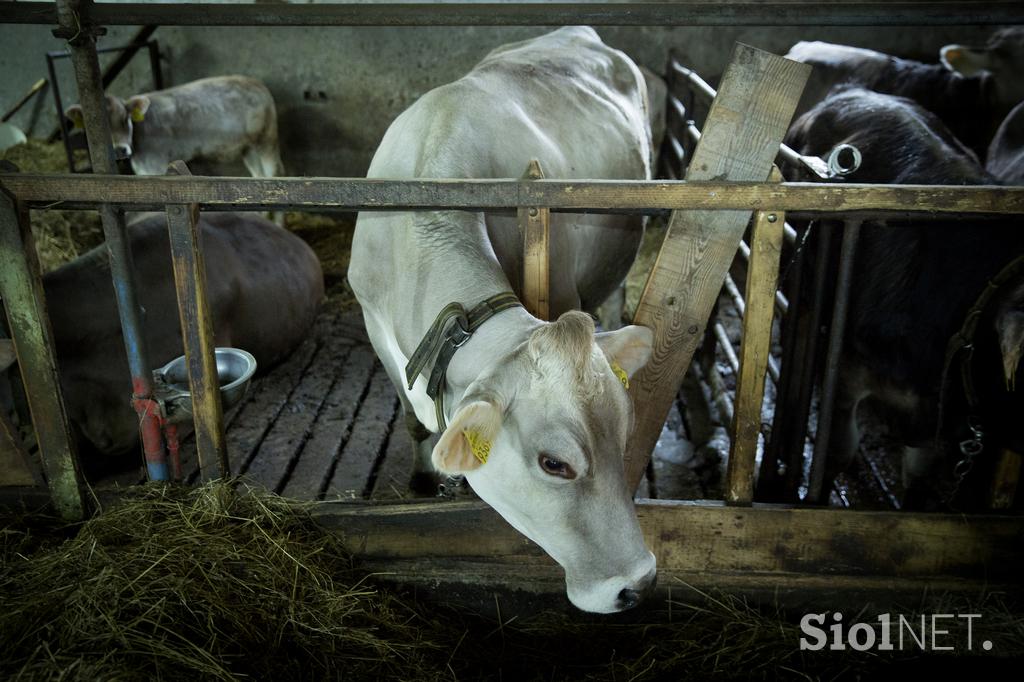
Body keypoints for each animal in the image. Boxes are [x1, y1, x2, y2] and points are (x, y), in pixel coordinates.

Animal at [66, 75, 282, 176]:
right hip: (248, 148)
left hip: (267, 139)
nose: (120, 149)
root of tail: (258, 84)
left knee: (274, 174)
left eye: (125, 118)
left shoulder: (156, 165)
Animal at [350, 26, 655, 614]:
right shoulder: (375, 328)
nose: (639, 584)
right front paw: (423, 478)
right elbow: (412, 420)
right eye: (554, 464)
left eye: (626, 435)